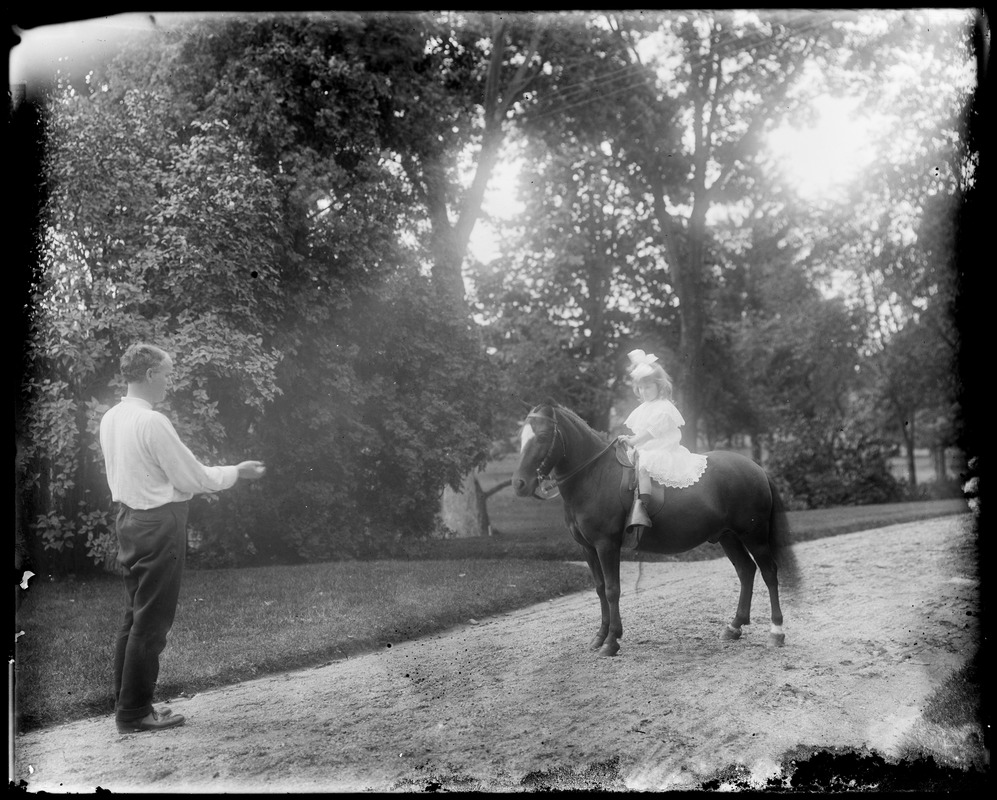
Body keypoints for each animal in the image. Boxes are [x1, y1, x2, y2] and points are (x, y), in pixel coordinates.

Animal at [512, 400, 800, 656]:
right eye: (521, 438)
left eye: (543, 436)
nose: (519, 484)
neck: (594, 476)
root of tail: (756, 467)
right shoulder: (587, 548)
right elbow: (599, 588)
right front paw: (600, 636)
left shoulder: (606, 545)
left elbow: (612, 589)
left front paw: (611, 641)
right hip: (727, 537)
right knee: (746, 571)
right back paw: (734, 626)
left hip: (754, 536)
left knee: (769, 573)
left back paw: (776, 631)